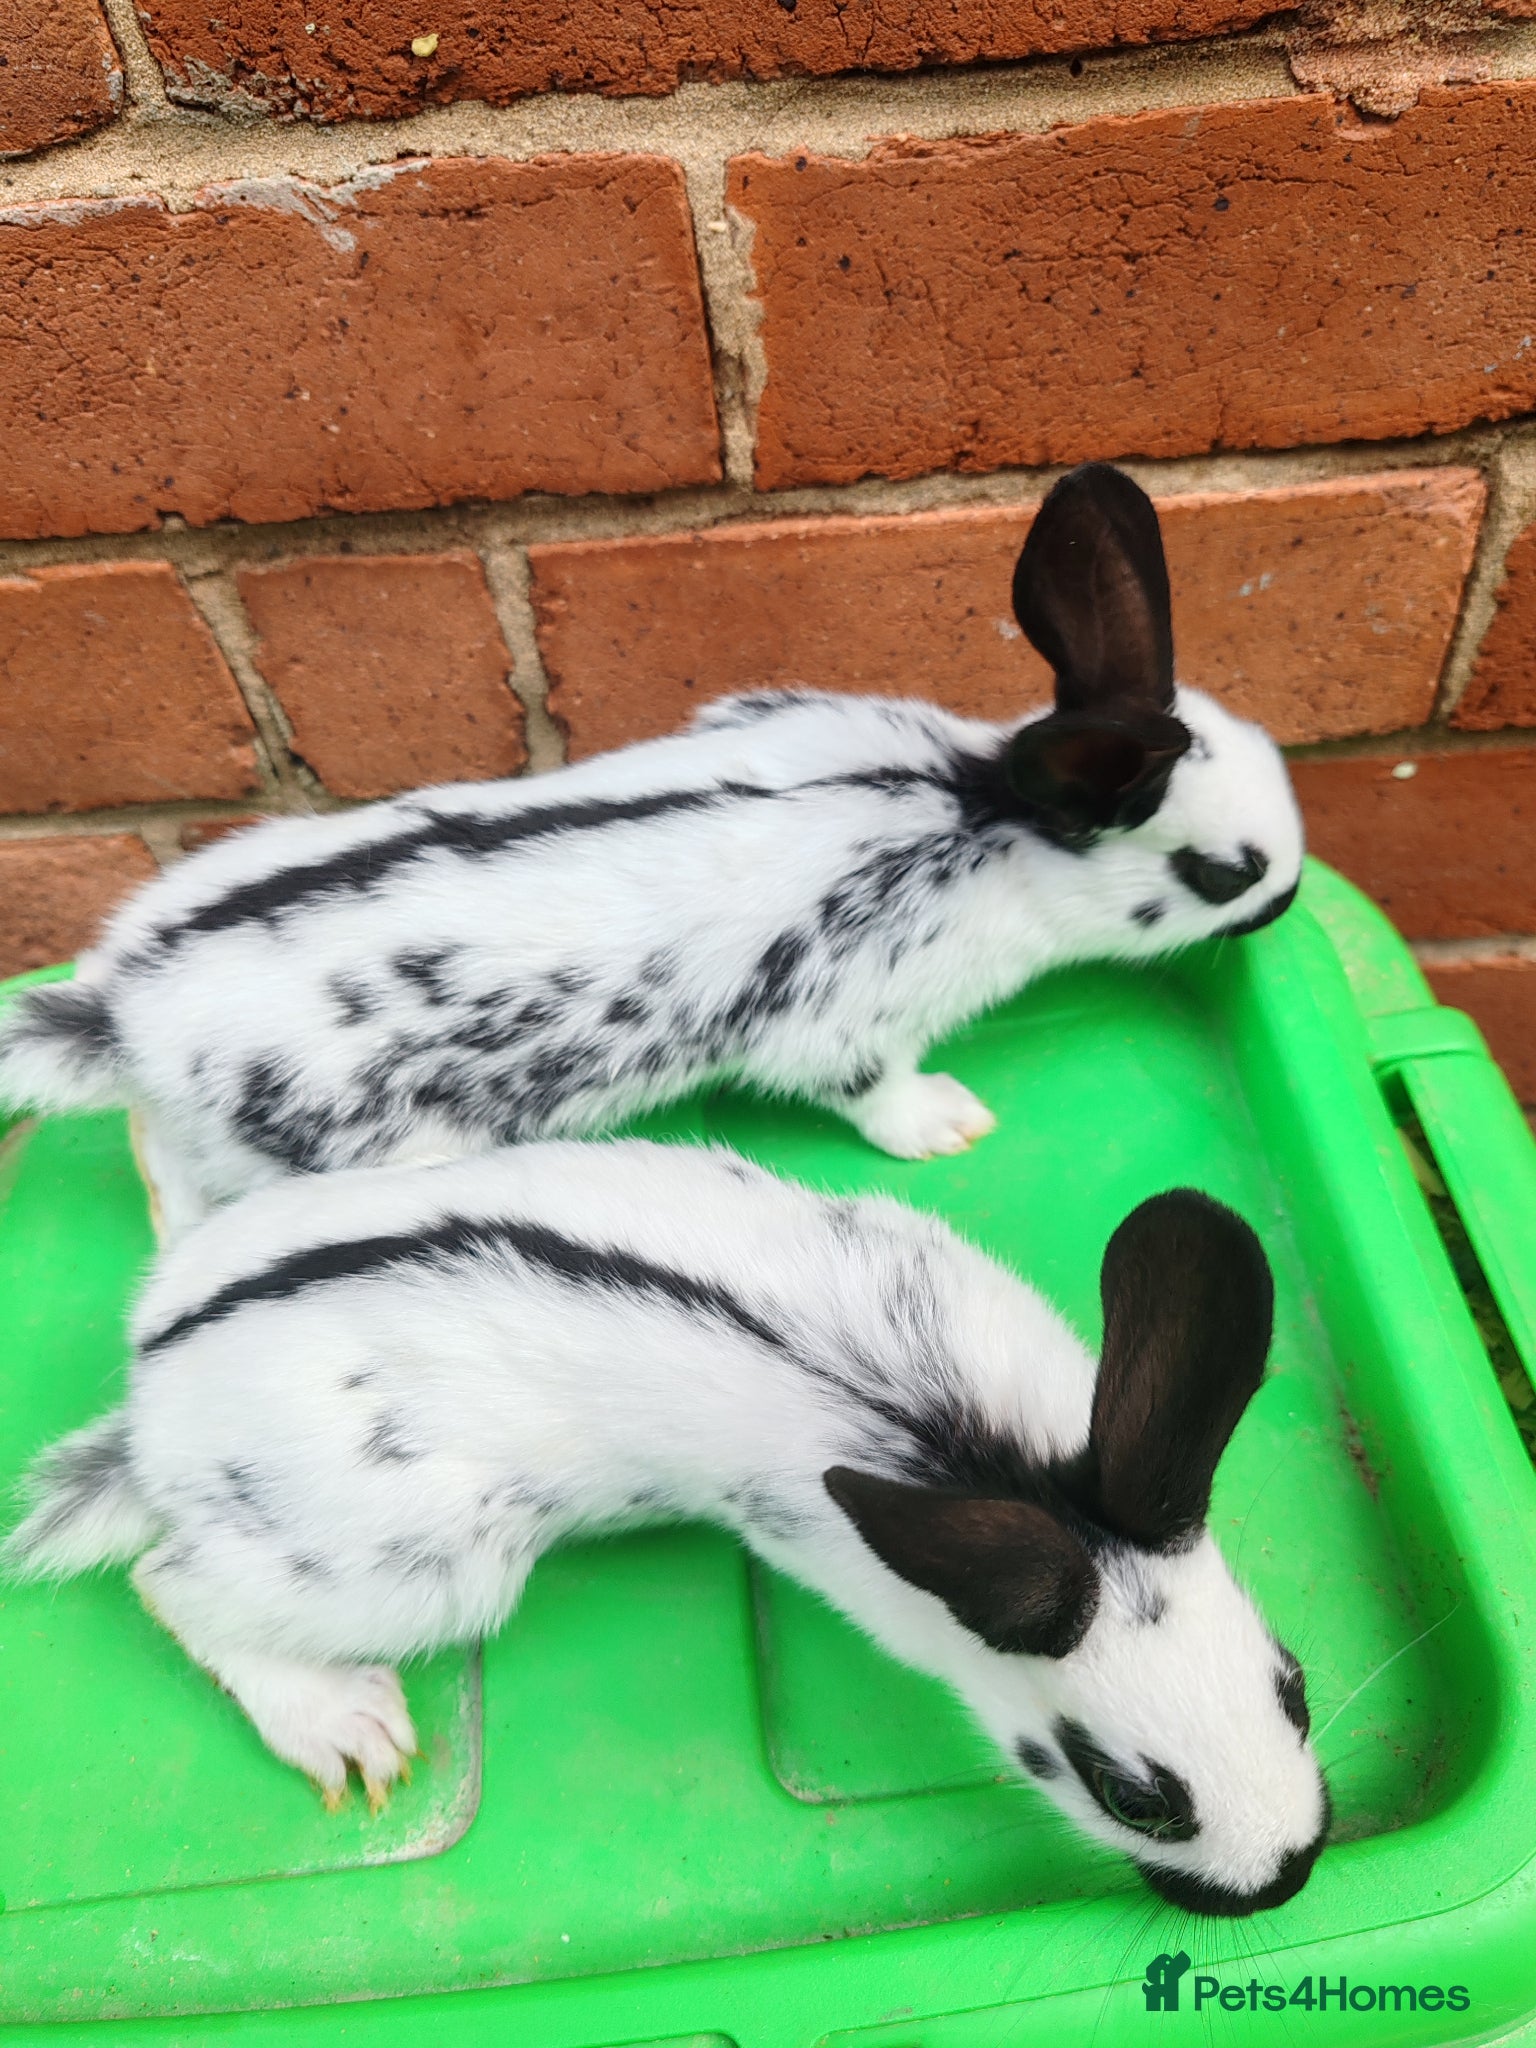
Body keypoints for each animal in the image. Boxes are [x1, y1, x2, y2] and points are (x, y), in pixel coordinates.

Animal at [0, 463, 1304, 1239]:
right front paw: (950, 1124)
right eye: (1223, 871)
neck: (981, 815)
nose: (1290, 898)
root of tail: (122, 1016)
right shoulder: (844, 1025)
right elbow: (873, 1093)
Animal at [5, 1142, 1327, 1917]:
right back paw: (341, 1724)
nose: (1288, 1875)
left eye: (1295, 1685)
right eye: (1132, 1795)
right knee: (172, 1581)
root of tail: (151, 1397)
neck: (995, 1468)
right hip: (422, 1569)